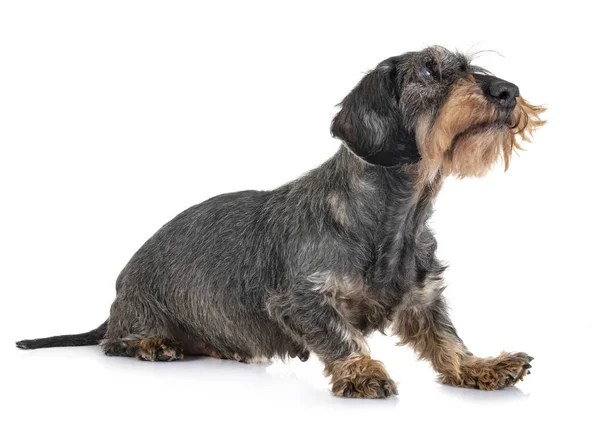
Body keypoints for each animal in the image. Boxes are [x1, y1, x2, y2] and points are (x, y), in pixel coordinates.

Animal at [17, 46, 544, 398]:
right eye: (430, 69)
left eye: (470, 65)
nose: (508, 91)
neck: (396, 219)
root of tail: (116, 302)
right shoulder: (298, 301)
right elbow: (340, 334)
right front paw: (363, 371)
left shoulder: (423, 297)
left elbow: (446, 337)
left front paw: (479, 366)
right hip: (135, 319)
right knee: (112, 344)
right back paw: (151, 343)